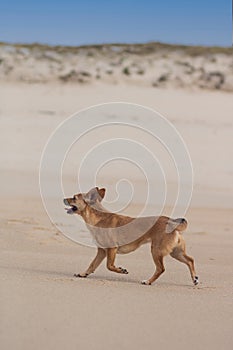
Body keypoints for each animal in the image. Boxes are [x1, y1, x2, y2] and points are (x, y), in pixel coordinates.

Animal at [63, 187, 198, 286]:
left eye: (74, 198)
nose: (64, 199)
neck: (98, 218)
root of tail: (172, 222)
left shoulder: (111, 249)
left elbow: (109, 266)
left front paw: (120, 270)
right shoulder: (101, 251)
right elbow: (92, 265)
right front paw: (83, 274)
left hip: (156, 251)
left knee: (161, 269)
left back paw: (148, 281)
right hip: (175, 252)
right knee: (190, 260)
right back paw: (195, 278)